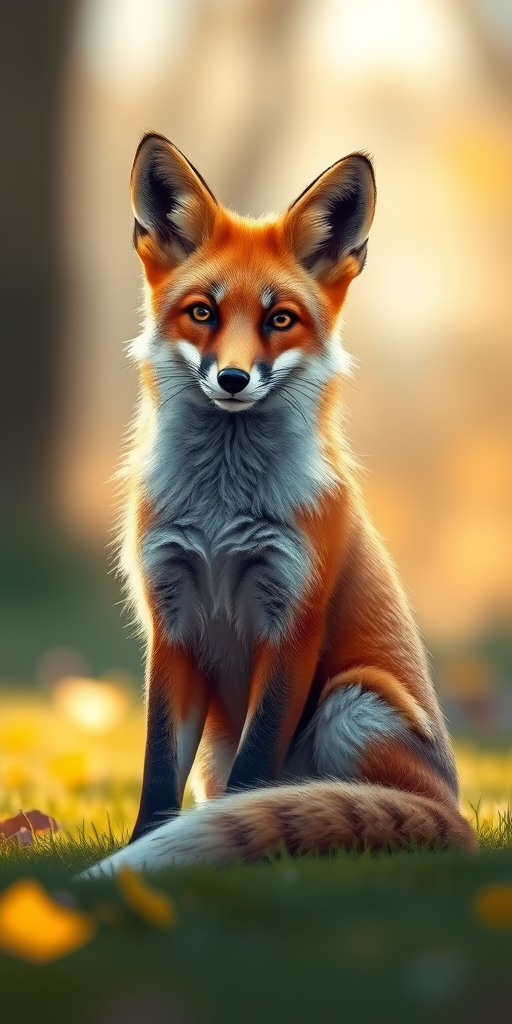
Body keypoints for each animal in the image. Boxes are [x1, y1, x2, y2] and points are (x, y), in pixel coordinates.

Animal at [86, 133, 476, 877]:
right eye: (202, 312)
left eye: (280, 319)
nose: (233, 378)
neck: (219, 516)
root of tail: (459, 814)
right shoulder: (170, 621)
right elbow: (157, 773)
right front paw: (144, 849)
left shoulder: (293, 618)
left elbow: (254, 773)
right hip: (223, 740)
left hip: (354, 699)